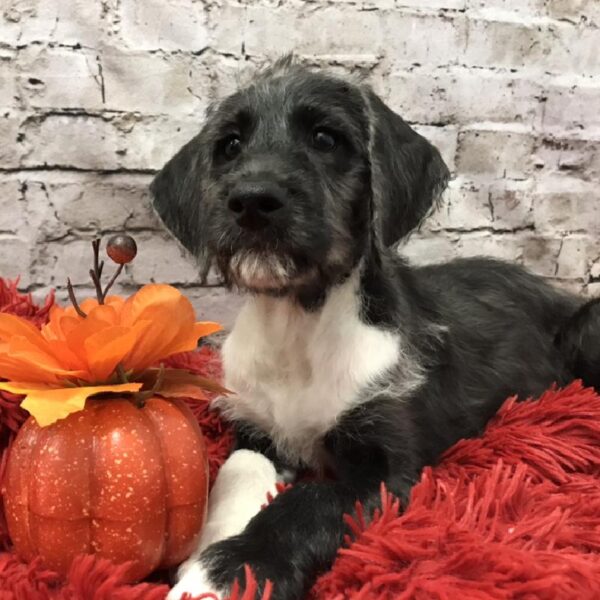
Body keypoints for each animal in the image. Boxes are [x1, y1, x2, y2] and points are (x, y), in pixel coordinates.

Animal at [151, 57, 600, 600]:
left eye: (326, 138)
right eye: (231, 145)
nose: (252, 200)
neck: (298, 325)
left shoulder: (385, 470)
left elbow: (307, 503)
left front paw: (229, 572)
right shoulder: (254, 429)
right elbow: (237, 470)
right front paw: (208, 544)